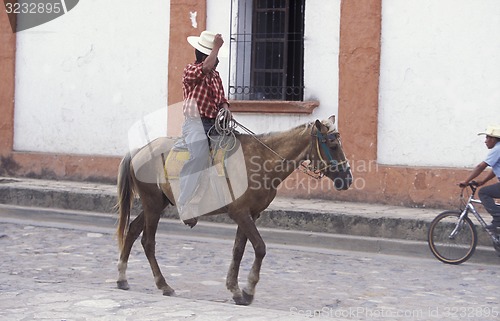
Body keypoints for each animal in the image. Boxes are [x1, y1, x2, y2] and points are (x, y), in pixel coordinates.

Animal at [115, 114, 354, 304]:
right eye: (333, 145)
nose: (348, 179)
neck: (262, 161)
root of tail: (139, 151)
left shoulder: (250, 214)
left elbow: (238, 250)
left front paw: (235, 289)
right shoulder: (240, 213)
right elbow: (260, 247)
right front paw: (248, 290)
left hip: (157, 204)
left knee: (133, 231)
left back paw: (122, 278)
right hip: (153, 204)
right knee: (148, 242)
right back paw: (163, 284)